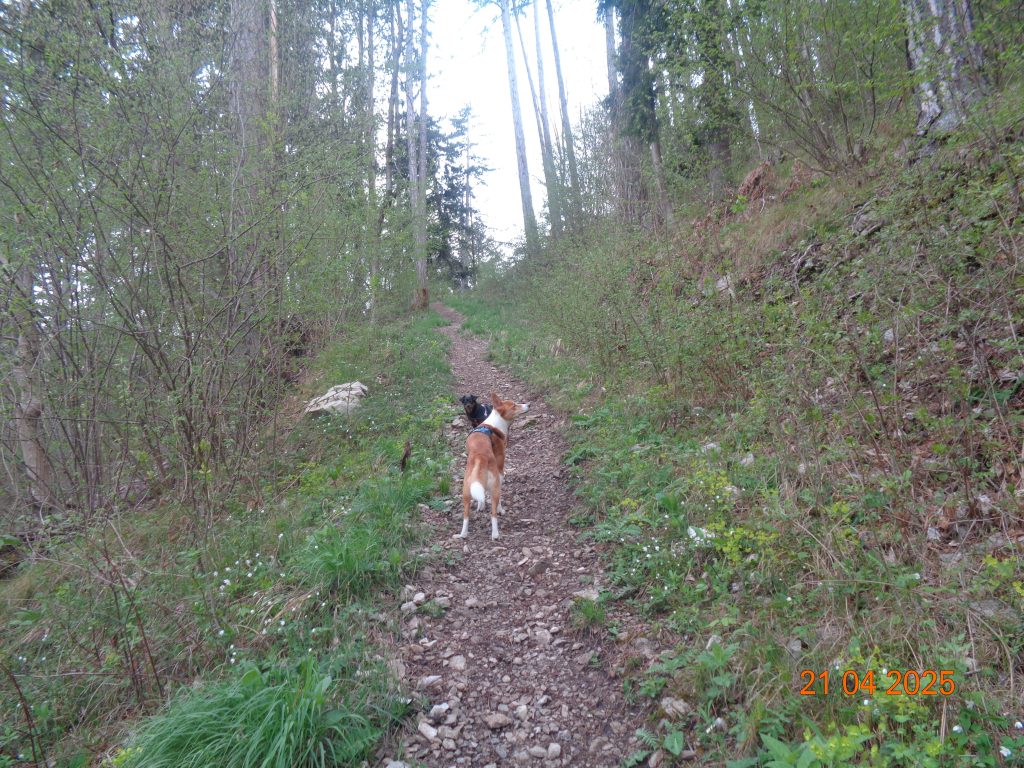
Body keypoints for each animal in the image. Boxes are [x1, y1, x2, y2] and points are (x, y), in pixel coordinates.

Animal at [458, 392, 529, 540]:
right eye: (514, 406)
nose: (528, 405)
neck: (494, 425)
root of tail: (480, 456)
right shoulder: (500, 470)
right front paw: (500, 509)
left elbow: (481, 496)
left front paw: (480, 505)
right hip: (494, 487)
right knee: (493, 514)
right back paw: (495, 534)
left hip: (466, 493)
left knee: (466, 515)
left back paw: (463, 534)